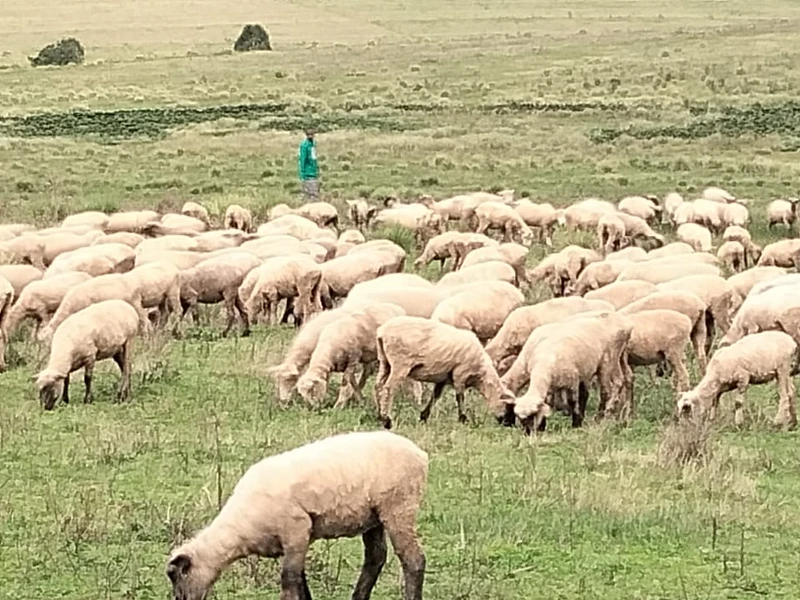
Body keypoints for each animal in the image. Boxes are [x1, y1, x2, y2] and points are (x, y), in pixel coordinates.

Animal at [165, 430, 428, 600]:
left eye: (177, 577)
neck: (239, 531)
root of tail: (420, 454)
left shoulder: (296, 530)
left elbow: (289, 580)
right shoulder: (293, 541)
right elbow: (300, 581)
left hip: (399, 506)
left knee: (413, 560)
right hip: (374, 516)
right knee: (376, 558)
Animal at [374, 315, 516, 428]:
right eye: (509, 408)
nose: (510, 425)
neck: (481, 377)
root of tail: (382, 332)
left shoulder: (442, 378)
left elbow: (435, 396)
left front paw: (423, 417)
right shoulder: (460, 374)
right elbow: (460, 397)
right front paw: (463, 419)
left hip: (385, 361)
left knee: (378, 385)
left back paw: (380, 415)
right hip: (400, 364)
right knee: (389, 388)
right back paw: (387, 420)